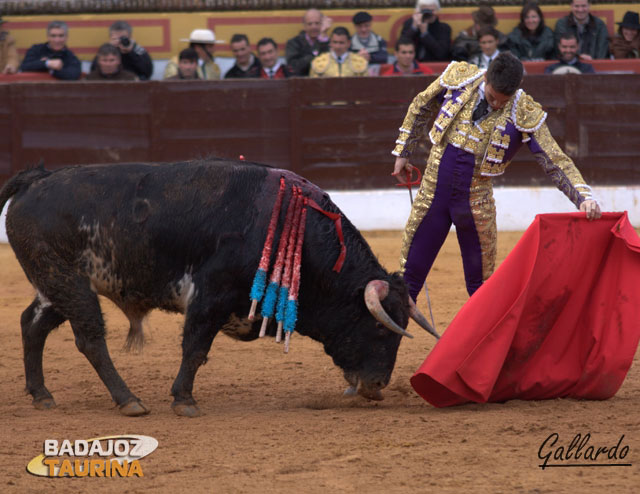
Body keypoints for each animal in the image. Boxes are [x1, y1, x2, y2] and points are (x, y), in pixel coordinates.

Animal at [0, 160, 436, 414]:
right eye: (380, 327)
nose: (377, 388)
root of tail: (34, 181)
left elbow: (197, 349)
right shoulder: (210, 295)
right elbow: (195, 348)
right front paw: (184, 400)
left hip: (57, 285)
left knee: (32, 325)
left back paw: (42, 395)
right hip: (68, 280)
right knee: (89, 338)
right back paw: (129, 401)